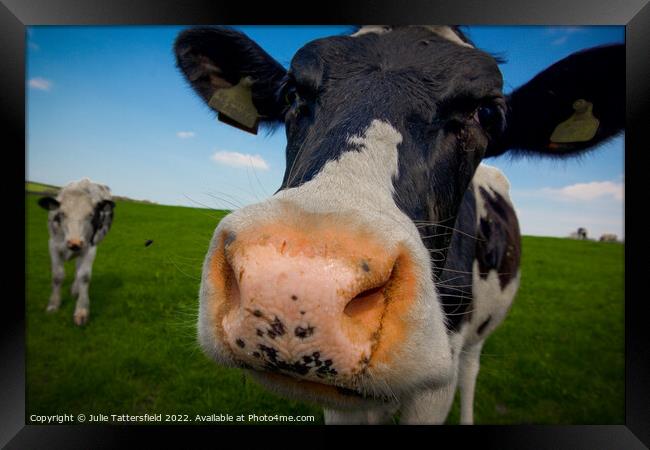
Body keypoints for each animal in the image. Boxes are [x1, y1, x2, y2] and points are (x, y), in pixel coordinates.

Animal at [37, 178, 115, 326]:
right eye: (62, 213)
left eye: (90, 215)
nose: (75, 242)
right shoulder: (53, 245)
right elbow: (57, 276)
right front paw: (53, 305)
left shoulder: (90, 248)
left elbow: (84, 276)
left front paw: (81, 311)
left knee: (79, 271)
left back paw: (75, 290)